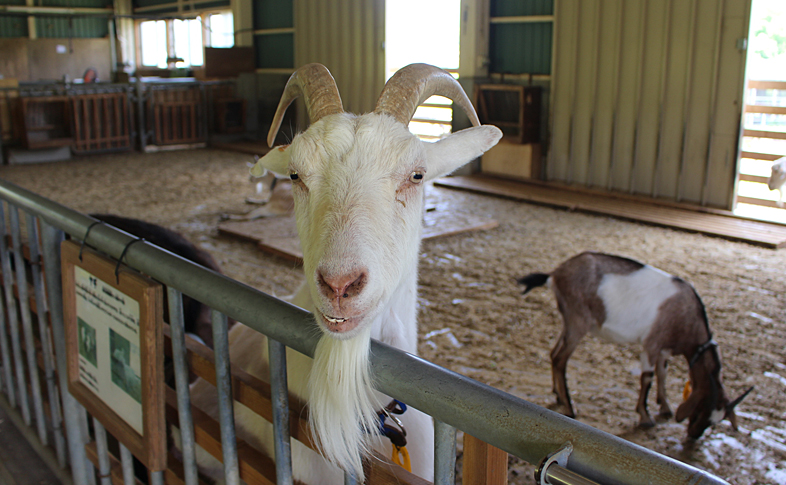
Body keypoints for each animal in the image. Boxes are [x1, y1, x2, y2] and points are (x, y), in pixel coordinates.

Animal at [516, 251, 752, 436]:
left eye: (717, 421)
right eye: (702, 409)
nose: (693, 435)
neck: (687, 318)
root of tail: (555, 274)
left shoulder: (664, 350)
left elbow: (662, 374)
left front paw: (665, 407)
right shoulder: (651, 345)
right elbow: (647, 378)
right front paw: (646, 417)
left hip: (568, 322)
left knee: (553, 352)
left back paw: (557, 394)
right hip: (578, 322)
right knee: (560, 358)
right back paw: (569, 406)